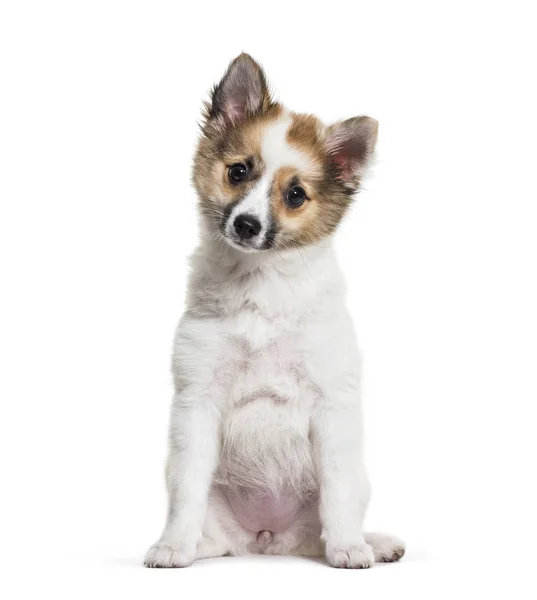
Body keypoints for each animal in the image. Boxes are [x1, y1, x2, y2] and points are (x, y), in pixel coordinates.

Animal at [144, 54, 404, 568]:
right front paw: (172, 546)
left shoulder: (332, 404)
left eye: (296, 195)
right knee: (210, 533)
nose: (247, 225)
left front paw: (350, 548)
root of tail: (267, 539)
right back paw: (193, 546)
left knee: (325, 527)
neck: (259, 286)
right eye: (238, 172)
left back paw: (371, 542)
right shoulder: (196, 402)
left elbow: (338, 493)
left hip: (351, 485)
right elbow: (186, 493)